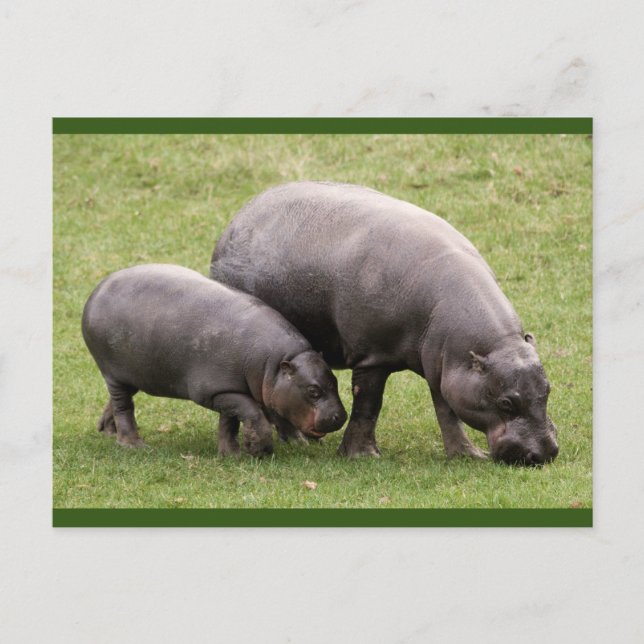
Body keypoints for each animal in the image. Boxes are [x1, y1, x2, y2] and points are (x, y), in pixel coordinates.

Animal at [81, 264, 347, 457]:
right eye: (313, 391)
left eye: (334, 381)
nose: (341, 417)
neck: (276, 364)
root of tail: (98, 289)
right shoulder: (214, 391)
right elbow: (252, 413)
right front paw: (257, 450)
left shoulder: (228, 389)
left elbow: (229, 423)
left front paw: (231, 454)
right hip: (112, 373)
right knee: (123, 405)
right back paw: (133, 444)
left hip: (135, 373)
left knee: (119, 400)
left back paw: (107, 431)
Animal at [210, 181, 559, 465]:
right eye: (506, 402)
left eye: (548, 390)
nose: (544, 453)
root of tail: (237, 219)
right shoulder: (373, 357)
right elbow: (368, 405)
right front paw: (362, 456)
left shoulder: (443, 366)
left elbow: (448, 412)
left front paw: (467, 455)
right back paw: (297, 442)